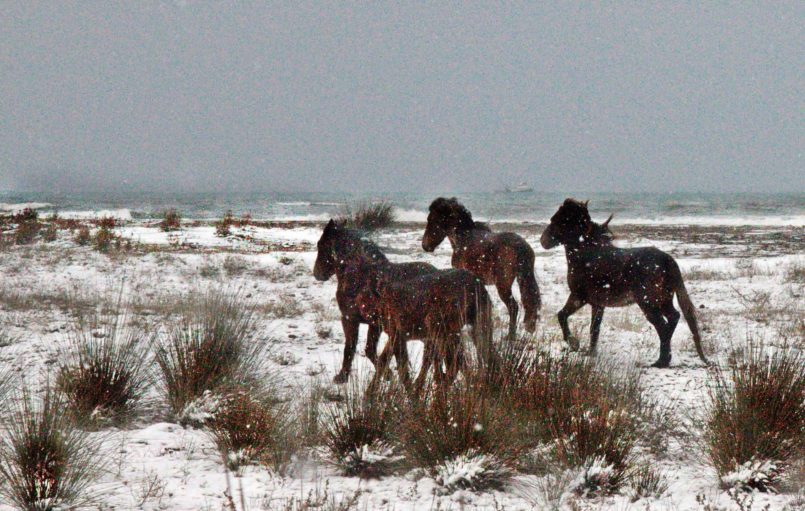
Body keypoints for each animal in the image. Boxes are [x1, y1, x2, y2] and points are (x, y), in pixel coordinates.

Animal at [314, 220, 440, 384]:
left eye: (321, 245)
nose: (317, 273)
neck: (359, 275)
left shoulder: (349, 319)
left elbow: (350, 348)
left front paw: (342, 376)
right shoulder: (374, 324)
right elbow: (370, 349)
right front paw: (387, 374)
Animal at [420, 199, 540, 340]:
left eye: (432, 220)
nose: (425, 246)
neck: (464, 238)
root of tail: (520, 246)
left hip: (503, 286)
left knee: (513, 307)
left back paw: (510, 337)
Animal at [540, 199, 704, 368]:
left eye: (557, 219)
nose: (543, 240)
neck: (587, 255)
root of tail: (668, 260)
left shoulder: (579, 296)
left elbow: (562, 315)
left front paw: (574, 343)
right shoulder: (597, 304)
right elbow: (594, 329)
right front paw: (591, 353)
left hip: (648, 303)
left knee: (663, 327)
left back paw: (660, 362)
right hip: (663, 301)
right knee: (674, 317)